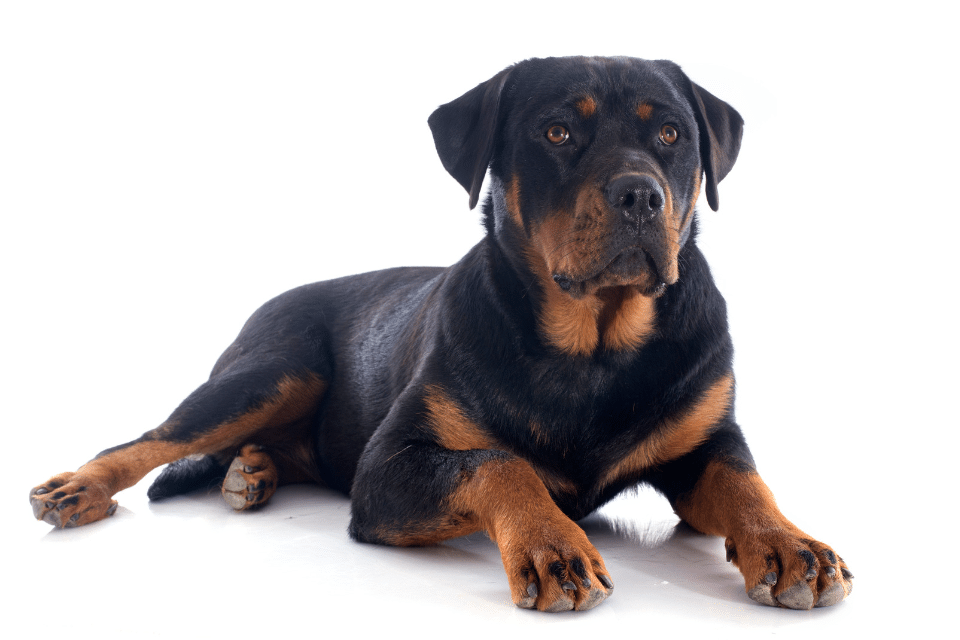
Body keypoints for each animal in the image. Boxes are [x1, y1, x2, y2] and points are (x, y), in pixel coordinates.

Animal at [31, 58, 856, 608]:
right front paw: (552, 544)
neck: (594, 346)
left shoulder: (704, 436)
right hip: (273, 368)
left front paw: (790, 544)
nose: (640, 195)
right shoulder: (389, 467)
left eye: (673, 134)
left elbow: (744, 481)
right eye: (558, 130)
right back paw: (80, 487)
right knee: (157, 437)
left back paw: (252, 472)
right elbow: (497, 462)